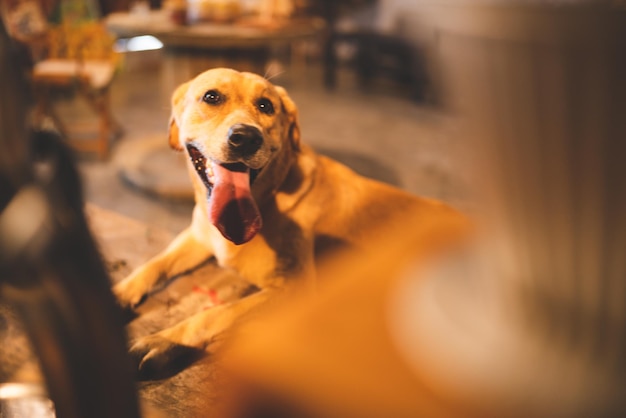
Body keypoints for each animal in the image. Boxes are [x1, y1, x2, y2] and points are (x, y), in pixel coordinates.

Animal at [113, 67, 464, 378]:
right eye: (211, 97)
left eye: (266, 106)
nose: (245, 138)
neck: (268, 198)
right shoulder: (197, 237)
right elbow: (153, 265)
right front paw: (119, 293)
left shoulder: (294, 289)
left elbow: (216, 313)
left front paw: (165, 340)